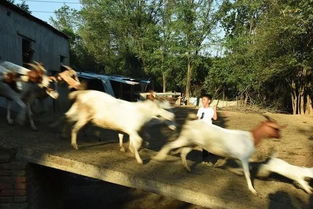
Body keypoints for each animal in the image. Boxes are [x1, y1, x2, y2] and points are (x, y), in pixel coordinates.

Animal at [152, 116, 284, 194]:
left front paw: (234, 171)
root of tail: (189, 122)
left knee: (183, 152)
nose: (280, 136)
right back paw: (159, 157)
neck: (251, 138)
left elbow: (243, 168)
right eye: (275, 128)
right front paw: (252, 190)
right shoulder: (243, 158)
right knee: (170, 145)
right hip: (186, 139)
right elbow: (247, 173)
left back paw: (187, 168)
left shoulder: (237, 158)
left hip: (192, 142)